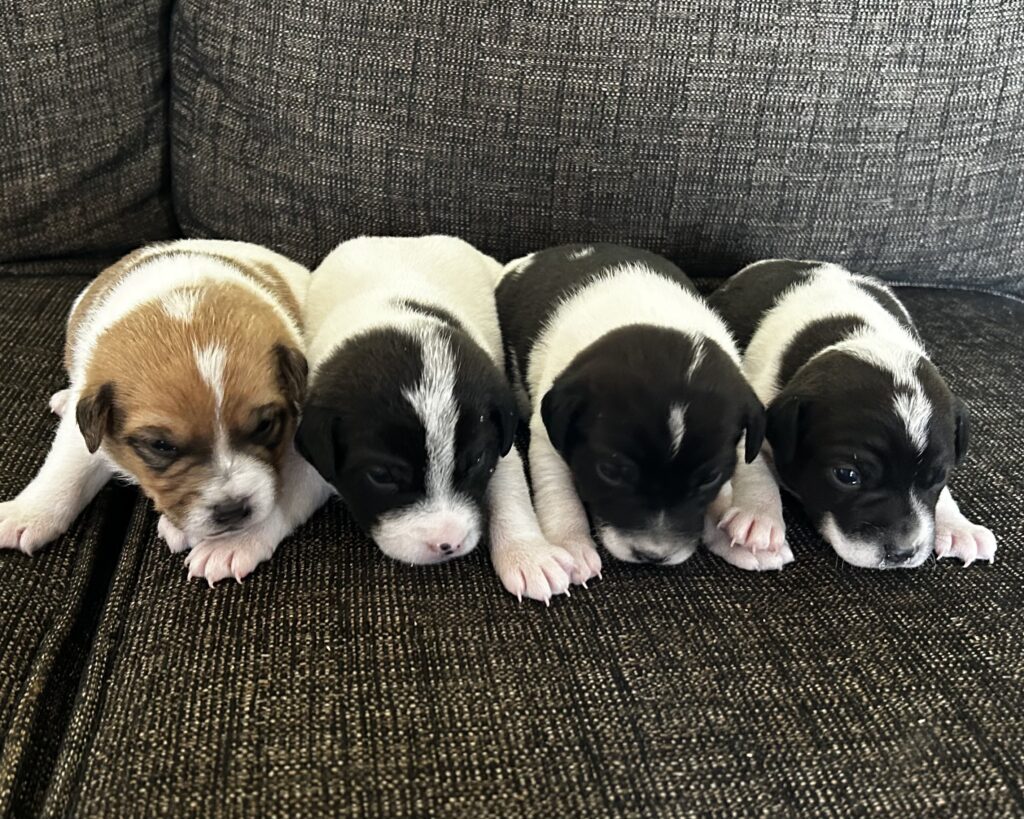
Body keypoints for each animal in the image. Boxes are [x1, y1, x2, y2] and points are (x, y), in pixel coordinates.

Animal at [0, 239, 332, 584]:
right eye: (161, 446)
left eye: (264, 426)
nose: (231, 511)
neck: (187, 304)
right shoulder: (85, 425)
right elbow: (65, 471)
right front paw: (29, 514)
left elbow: (289, 491)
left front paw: (235, 543)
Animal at [296, 235, 575, 602]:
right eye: (380, 475)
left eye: (476, 461)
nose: (448, 543)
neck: (397, 315)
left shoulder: (501, 444)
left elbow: (511, 493)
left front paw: (529, 554)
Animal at [495, 243, 765, 595]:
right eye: (610, 472)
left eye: (709, 478)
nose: (653, 555)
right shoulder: (547, 437)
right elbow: (559, 496)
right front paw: (572, 545)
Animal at [704, 259, 997, 570]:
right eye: (847, 475)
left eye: (939, 476)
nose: (902, 553)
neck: (860, 335)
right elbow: (753, 465)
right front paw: (758, 516)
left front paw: (958, 526)